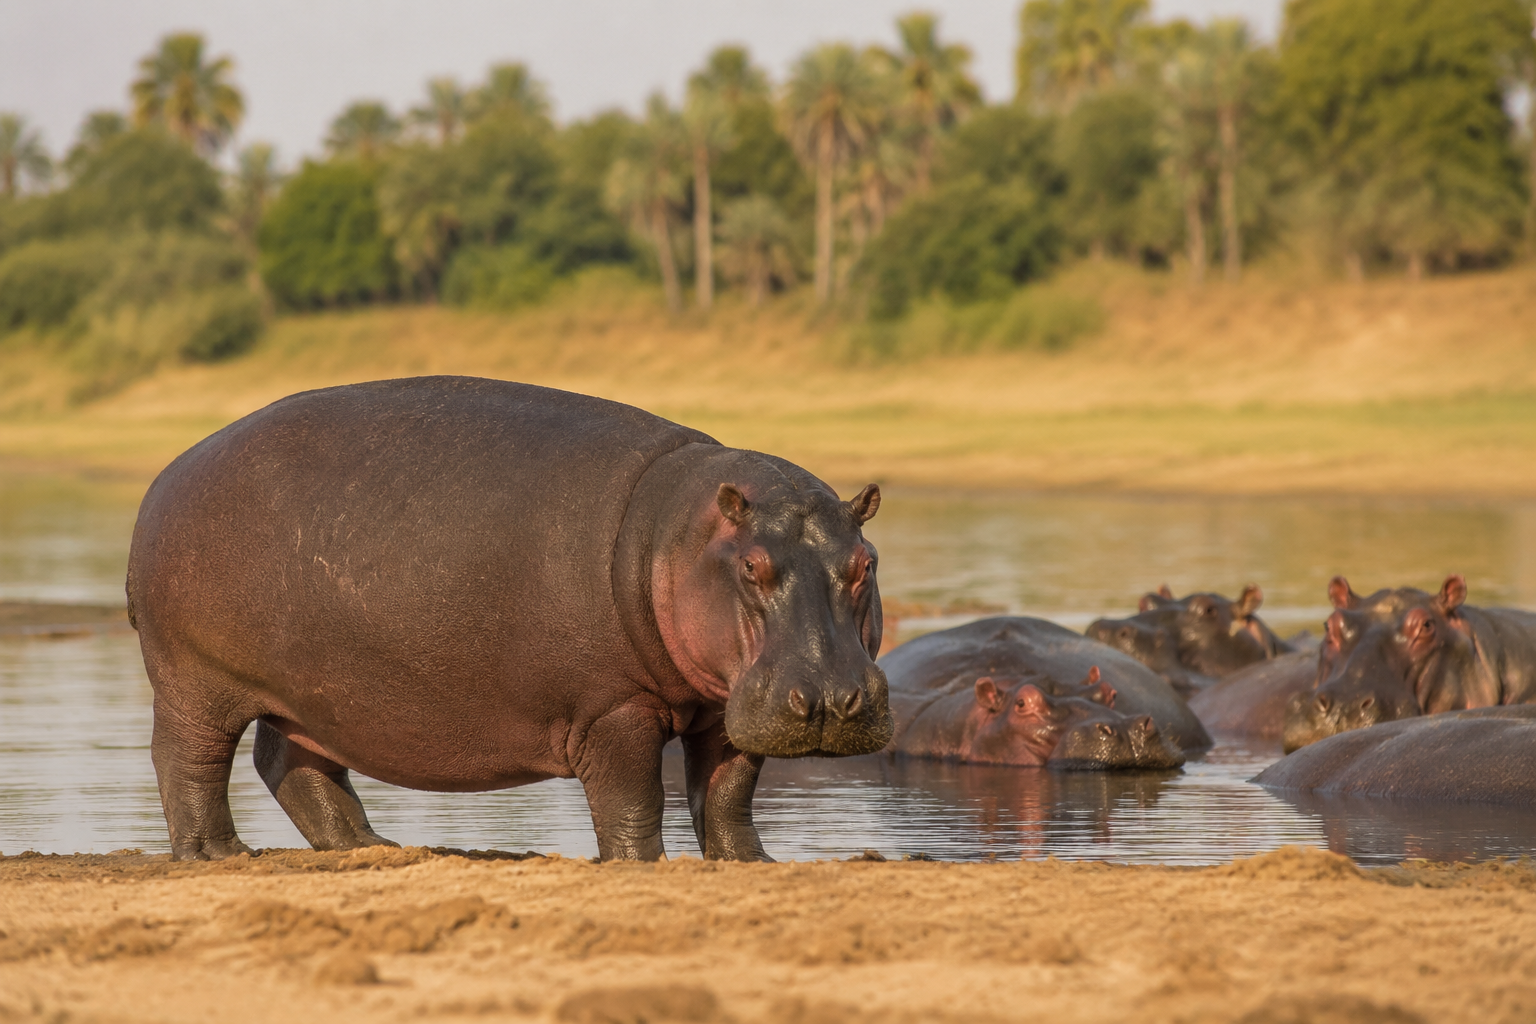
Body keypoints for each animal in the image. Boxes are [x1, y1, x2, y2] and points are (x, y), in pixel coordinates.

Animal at [126, 376, 892, 862]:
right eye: (753, 567)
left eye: (866, 562)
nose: (832, 700)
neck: (679, 534)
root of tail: (168, 476)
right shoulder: (612, 707)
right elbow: (633, 798)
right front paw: (637, 863)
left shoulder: (727, 704)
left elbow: (729, 793)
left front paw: (752, 863)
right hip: (194, 680)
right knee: (189, 760)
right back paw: (220, 853)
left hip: (312, 695)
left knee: (291, 759)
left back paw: (372, 847)